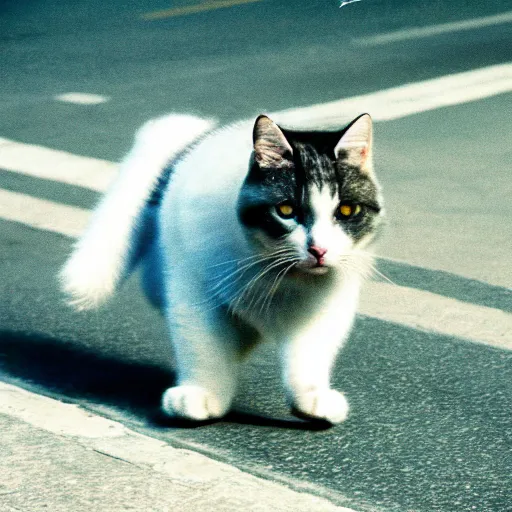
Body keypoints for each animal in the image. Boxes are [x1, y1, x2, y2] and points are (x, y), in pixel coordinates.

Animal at [60, 112, 384, 424]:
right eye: (286, 211)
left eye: (346, 211)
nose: (318, 250)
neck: (279, 275)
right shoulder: (195, 292)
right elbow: (205, 347)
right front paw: (202, 393)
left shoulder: (325, 308)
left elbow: (310, 353)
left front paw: (312, 397)